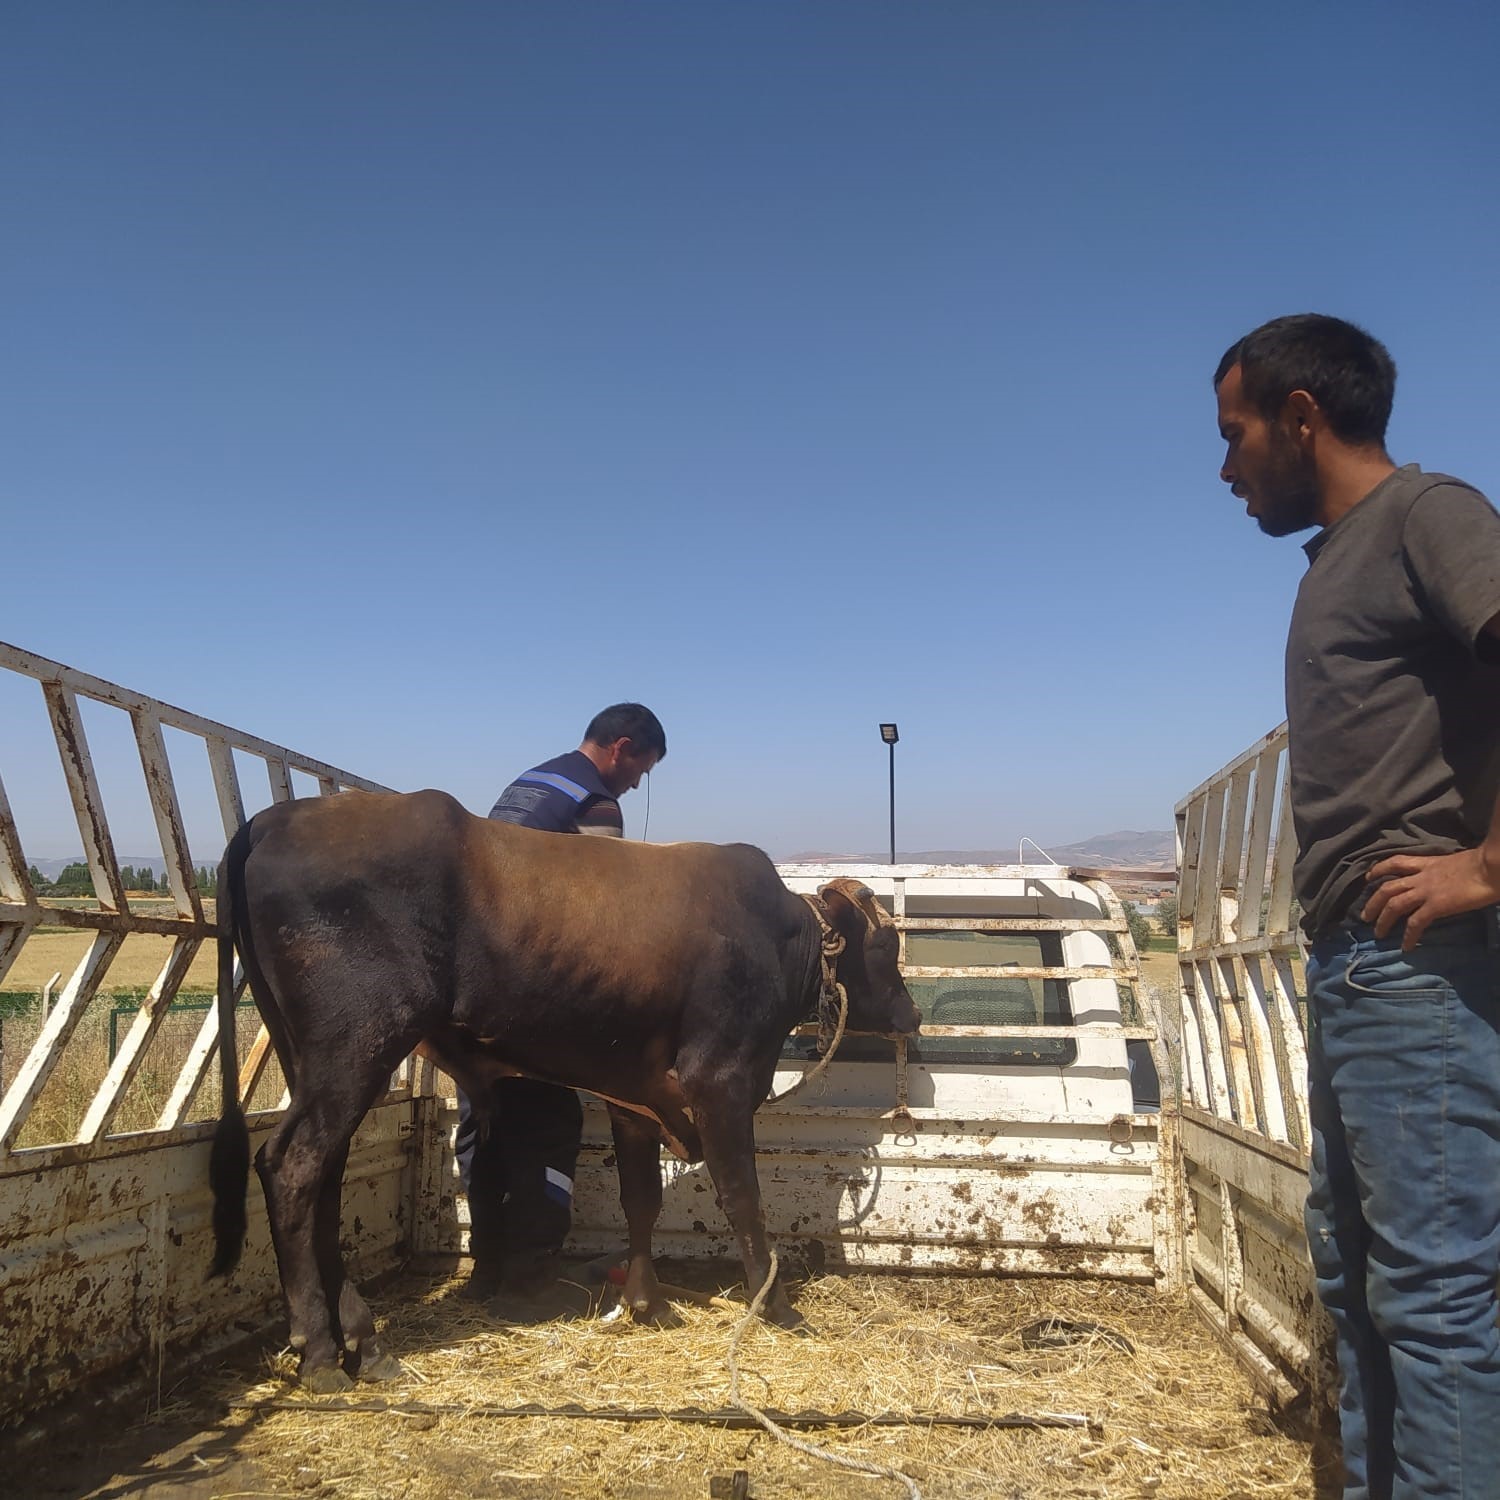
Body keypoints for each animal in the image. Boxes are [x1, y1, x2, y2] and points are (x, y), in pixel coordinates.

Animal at [207, 792, 918, 1386]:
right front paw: (775, 1306)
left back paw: (365, 1343)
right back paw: (321, 1354)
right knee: (293, 1167)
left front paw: (646, 1302)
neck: (777, 938)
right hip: (356, 1046)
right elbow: (742, 1197)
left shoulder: (636, 1094)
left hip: (315, 1061)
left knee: (325, 1177)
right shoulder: (720, 1081)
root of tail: (274, 819)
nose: (911, 1015)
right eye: (886, 944)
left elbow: (641, 1201)